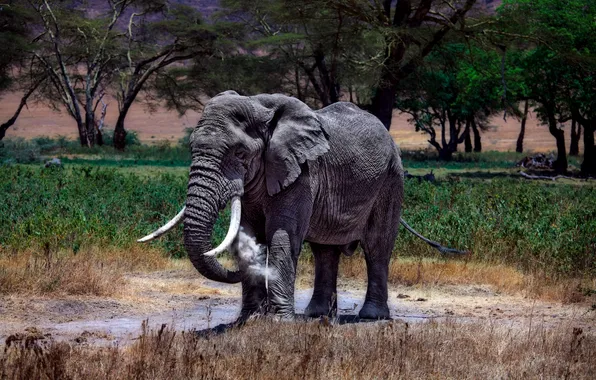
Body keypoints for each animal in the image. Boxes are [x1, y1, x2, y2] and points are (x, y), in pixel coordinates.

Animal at [141, 91, 466, 320]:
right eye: (191, 147)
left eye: (240, 153)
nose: (233, 271)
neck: (260, 107)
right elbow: (250, 232)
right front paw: (249, 319)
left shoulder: (302, 172)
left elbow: (282, 237)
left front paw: (278, 321)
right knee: (325, 251)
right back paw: (317, 315)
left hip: (391, 178)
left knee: (377, 246)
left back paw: (371, 316)